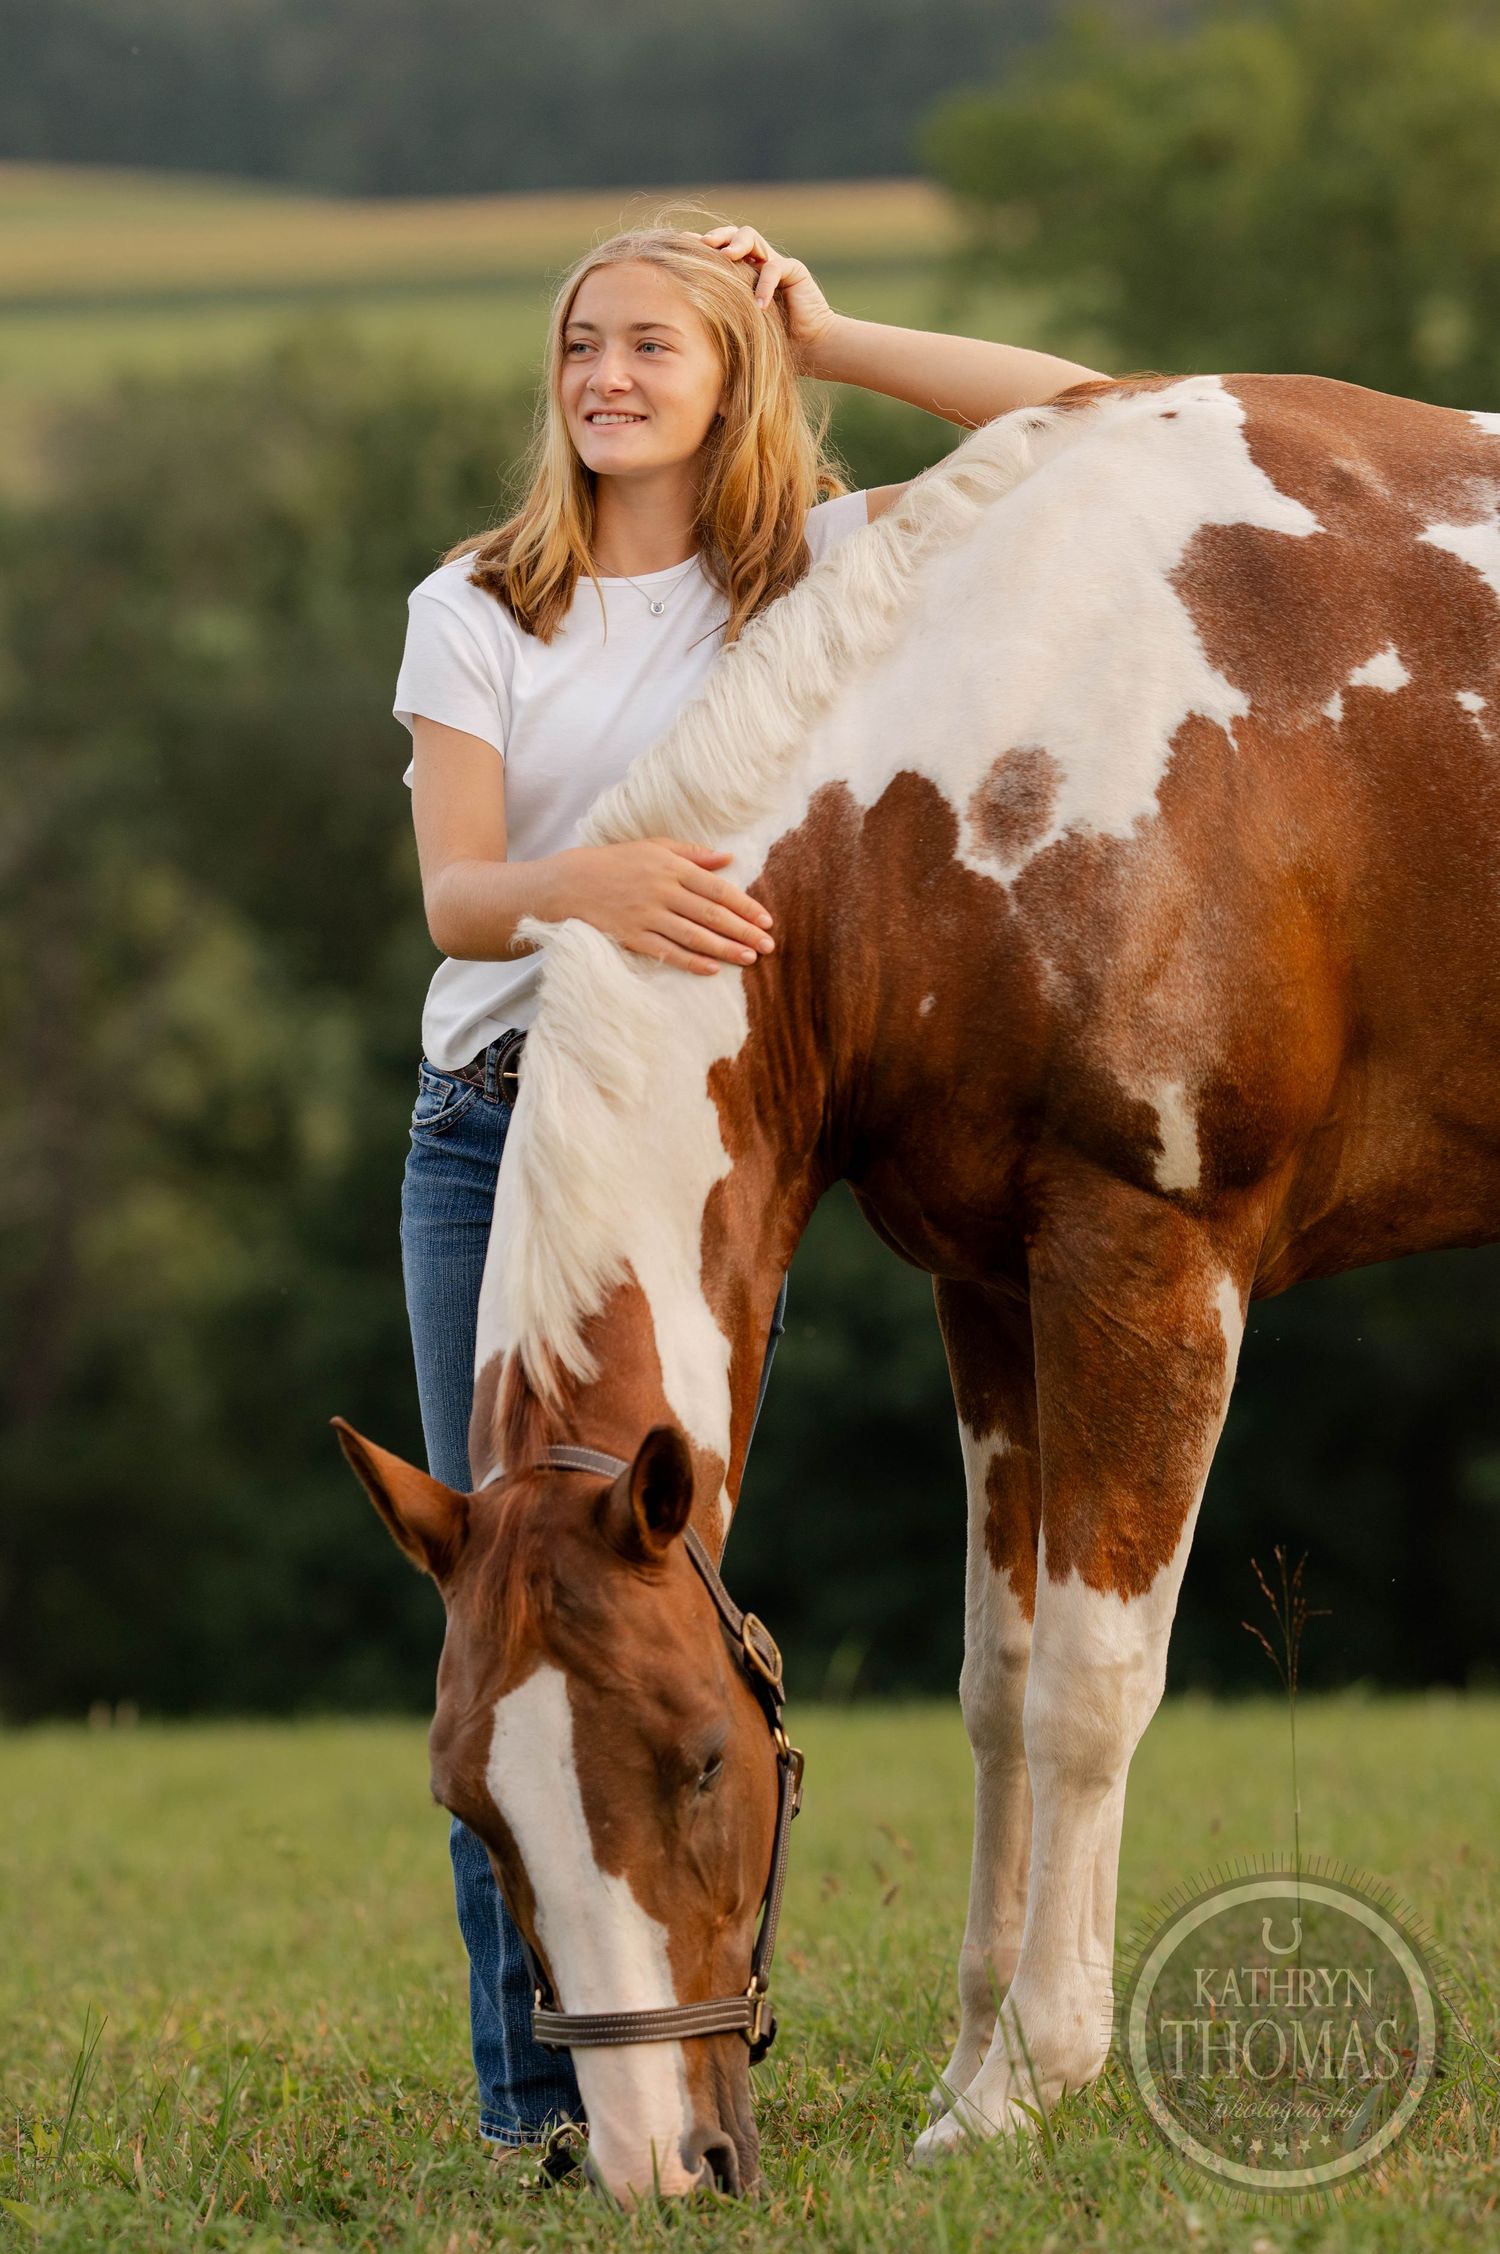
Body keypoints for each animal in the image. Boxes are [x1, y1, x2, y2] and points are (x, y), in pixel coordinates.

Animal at [337, 370, 1500, 2202]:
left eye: (701, 1757)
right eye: (474, 1804)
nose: (662, 2165)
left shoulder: (1149, 1258)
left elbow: (1092, 1686)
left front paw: (1036, 2072)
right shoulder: (993, 1285)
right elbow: (999, 1688)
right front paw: (966, 2079)